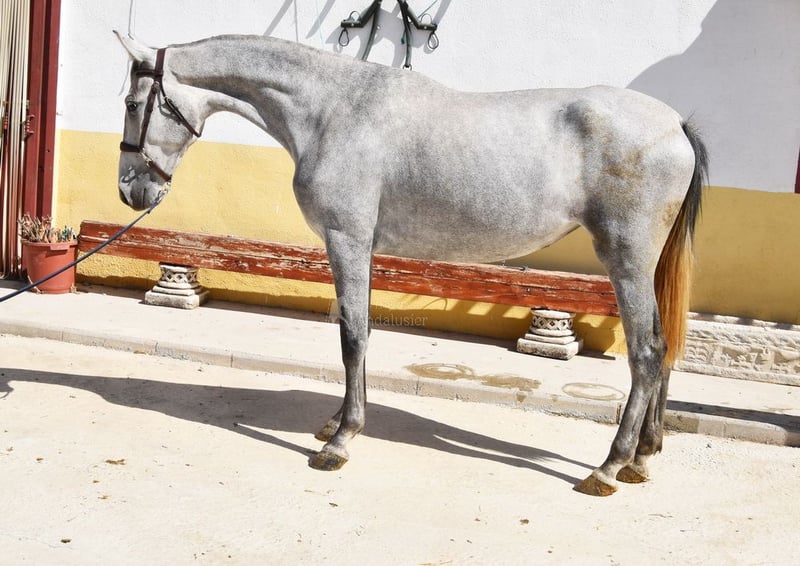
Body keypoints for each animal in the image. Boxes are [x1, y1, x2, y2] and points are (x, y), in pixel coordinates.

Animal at [114, 32, 707, 496]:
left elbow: (353, 335)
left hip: (626, 259)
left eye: (131, 102)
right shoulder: (361, 247)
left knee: (646, 352)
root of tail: (676, 124)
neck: (333, 110)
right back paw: (643, 456)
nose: (130, 191)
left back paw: (609, 466)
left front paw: (341, 439)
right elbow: (357, 330)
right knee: (662, 347)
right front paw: (336, 422)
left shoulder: (348, 240)